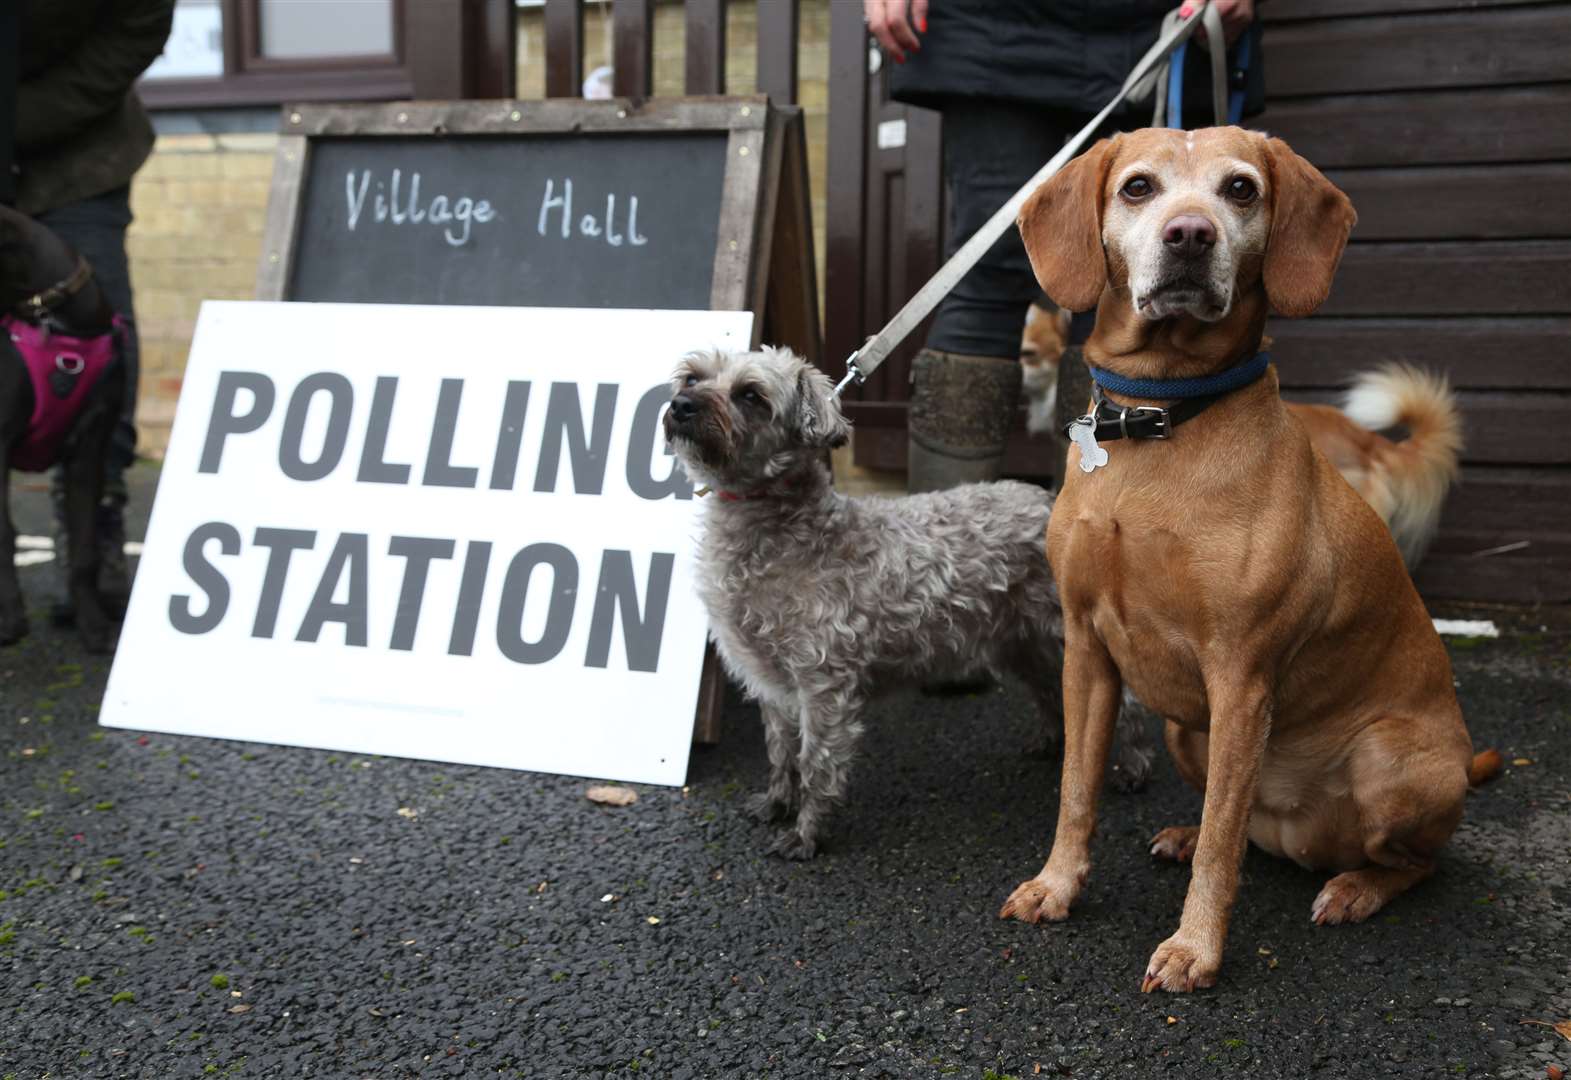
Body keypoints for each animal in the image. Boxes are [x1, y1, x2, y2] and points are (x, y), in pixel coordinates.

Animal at [662, 348, 1156, 861]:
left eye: (751, 395)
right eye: (692, 377)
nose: (681, 405)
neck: (781, 534)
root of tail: (1050, 501)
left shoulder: (823, 687)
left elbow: (815, 763)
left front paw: (806, 834)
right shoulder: (771, 683)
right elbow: (780, 752)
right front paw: (777, 803)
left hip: (1062, 634)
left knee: (1124, 701)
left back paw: (1134, 766)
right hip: (1020, 640)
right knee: (1047, 688)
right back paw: (1050, 741)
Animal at [999, 124, 1489, 987]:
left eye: (1240, 190)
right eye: (1137, 187)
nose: (1190, 236)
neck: (1159, 423)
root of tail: (1300, 838)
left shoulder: (1240, 676)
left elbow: (1223, 846)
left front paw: (1194, 948)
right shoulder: (1085, 652)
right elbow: (1076, 790)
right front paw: (1056, 886)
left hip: (1388, 761)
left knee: (1403, 860)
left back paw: (1354, 886)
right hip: (1182, 730)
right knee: (1243, 828)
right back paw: (1191, 832)